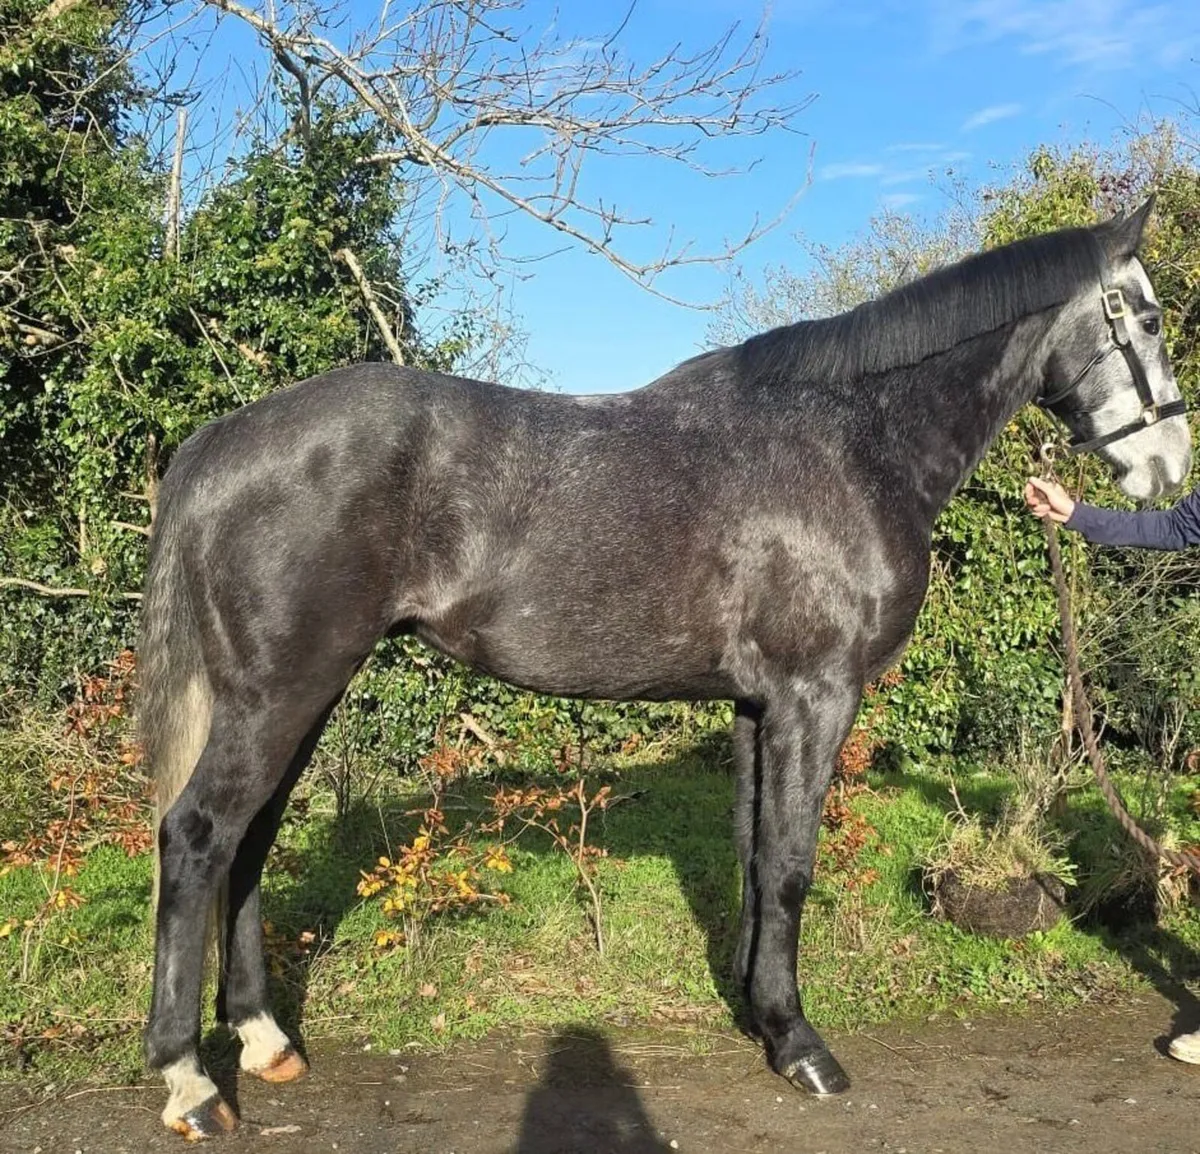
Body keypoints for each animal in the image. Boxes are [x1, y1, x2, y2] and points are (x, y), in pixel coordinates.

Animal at [138, 197, 1190, 1138]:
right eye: (1144, 317)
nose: (1170, 468)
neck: (850, 445)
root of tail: (221, 441)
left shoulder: (760, 707)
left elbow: (756, 856)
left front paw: (761, 1014)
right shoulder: (816, 696)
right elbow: (792, 866)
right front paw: (803, 1046)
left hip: (300, 693)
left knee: (249, 839)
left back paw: (265, 1039)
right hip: (280, 693)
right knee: (196, 836)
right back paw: (189, 1081)